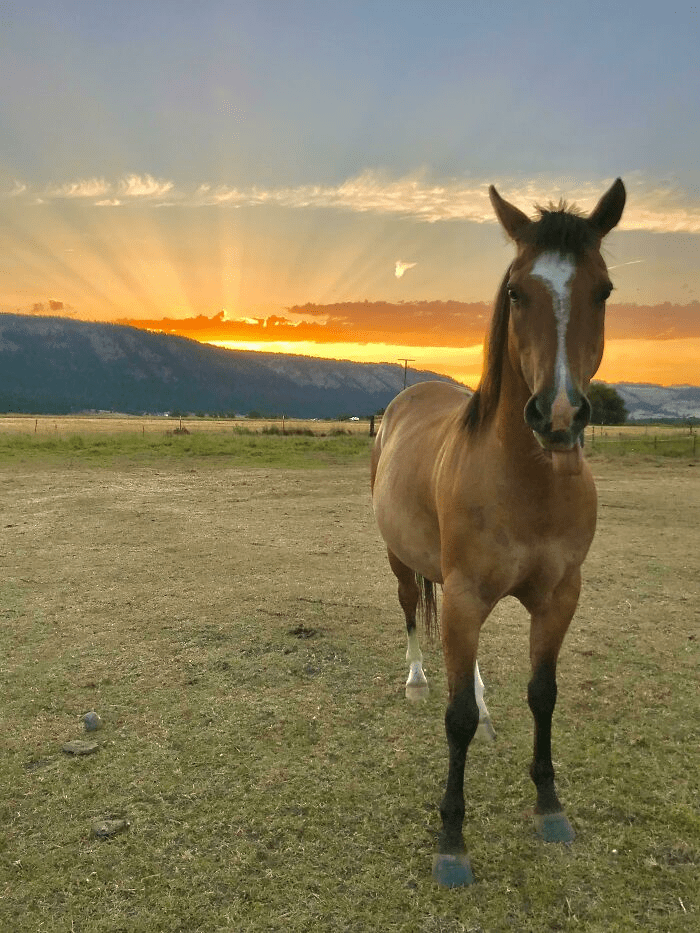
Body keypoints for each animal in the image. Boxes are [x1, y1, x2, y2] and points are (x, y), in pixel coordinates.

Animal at [370, 178, 628, 884]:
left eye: (603, 290)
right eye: (517, 292)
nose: (559, 415)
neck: (527, 481)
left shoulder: (559, 595)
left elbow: (543, 694)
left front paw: (549, 807)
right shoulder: (462, 594)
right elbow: (454, 717)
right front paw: (451, 839)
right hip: (404, 562)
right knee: (411, 612)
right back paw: (416, 680)